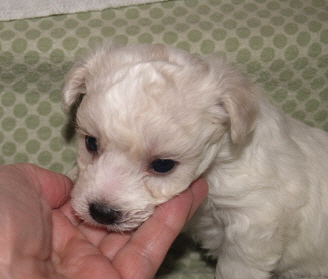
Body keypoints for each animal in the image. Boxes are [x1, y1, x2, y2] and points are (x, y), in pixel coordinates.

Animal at [62, 44, 328, 279]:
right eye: (91, 143)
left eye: (163, 165)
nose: (101, 212)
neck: (215, 167)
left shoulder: (254, 222)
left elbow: (236, 268)